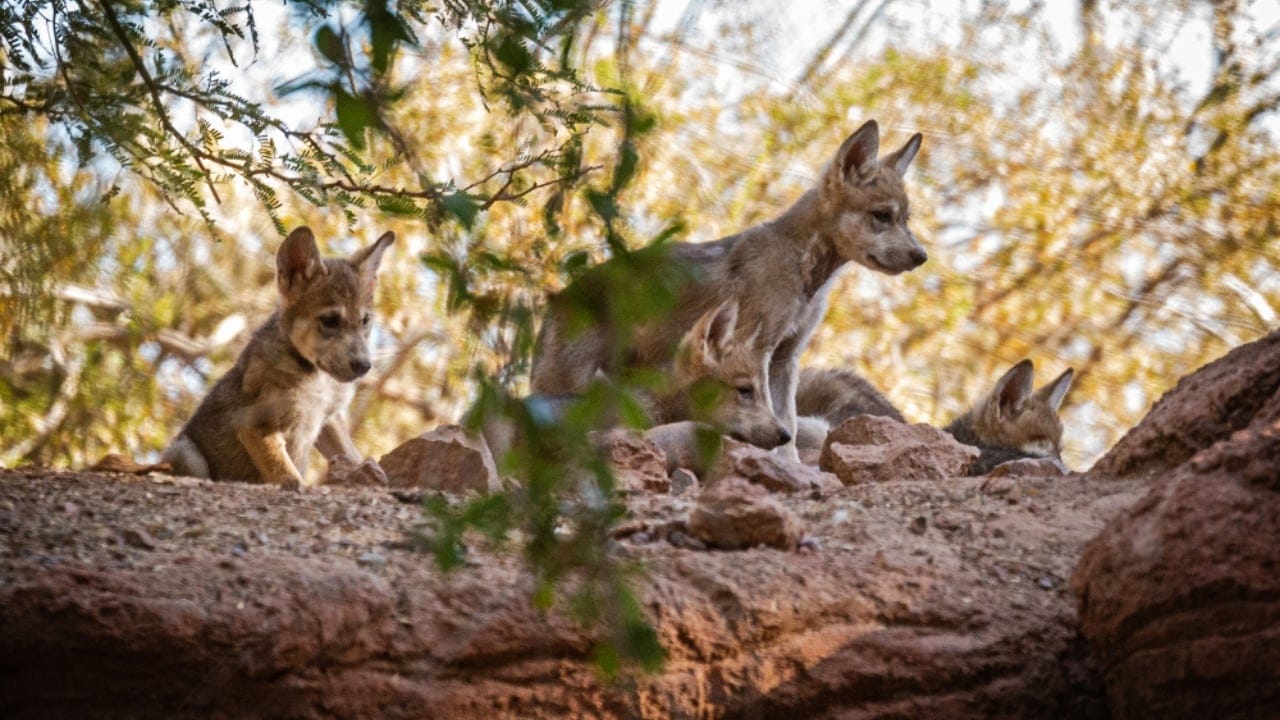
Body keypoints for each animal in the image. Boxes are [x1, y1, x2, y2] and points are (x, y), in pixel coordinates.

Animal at [161, 226, 394, 488]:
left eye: (365, 321)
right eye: (330, 321)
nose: (364, 366)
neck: (318, 381)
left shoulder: (328, 418)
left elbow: (351, 454)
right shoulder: (256, 426)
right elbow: (289, 477)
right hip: (185, 453)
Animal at [531, 119, 927, 458]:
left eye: (906, 219)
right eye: (882, 216)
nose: (921, 256)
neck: (804, 275)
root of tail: (555, 302)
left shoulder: (786, 358)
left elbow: (788, 431)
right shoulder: (760, 349)